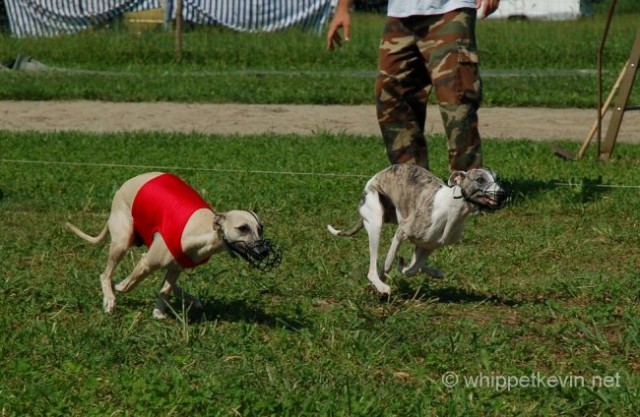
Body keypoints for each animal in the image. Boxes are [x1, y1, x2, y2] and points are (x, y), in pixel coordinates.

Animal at [330, 164, 504, 294]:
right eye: (480, 179)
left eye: (496, 178)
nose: (502, 193)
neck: (451, 208)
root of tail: (376, 176)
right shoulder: (402, 233)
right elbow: (388, 263)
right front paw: (385, 280)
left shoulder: (429, 245)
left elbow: (412, 269)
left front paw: (408, 267)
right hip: (375, 222)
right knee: (372, 269)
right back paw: (381, 285)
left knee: (415, 265)